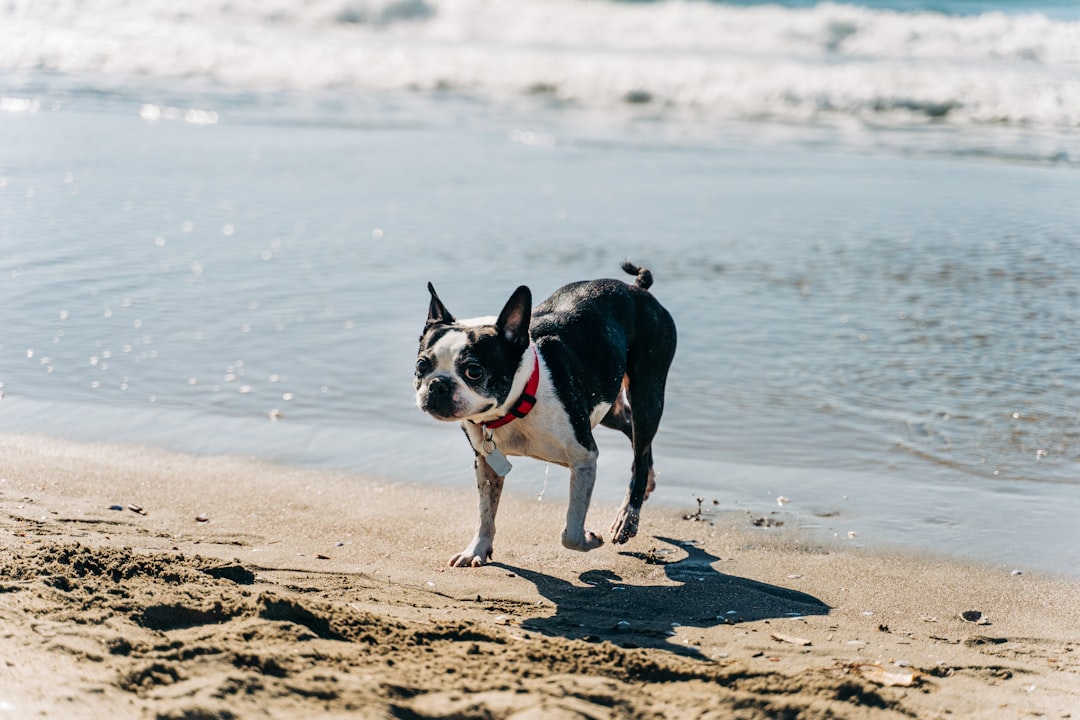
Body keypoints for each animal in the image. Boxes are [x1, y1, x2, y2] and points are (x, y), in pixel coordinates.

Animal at [416, 262, 678, 565]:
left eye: (474, 371)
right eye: (422, 365)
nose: (438, 384)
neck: (517, 406)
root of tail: (637, 288)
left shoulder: (584, 457)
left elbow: (572, 531)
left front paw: (591, 539)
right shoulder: (487, 462)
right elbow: (486, 514)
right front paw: (477, 549)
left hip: (647, 393)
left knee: (641, 442)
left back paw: (628, 517)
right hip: (608, 406)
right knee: (634, 436)